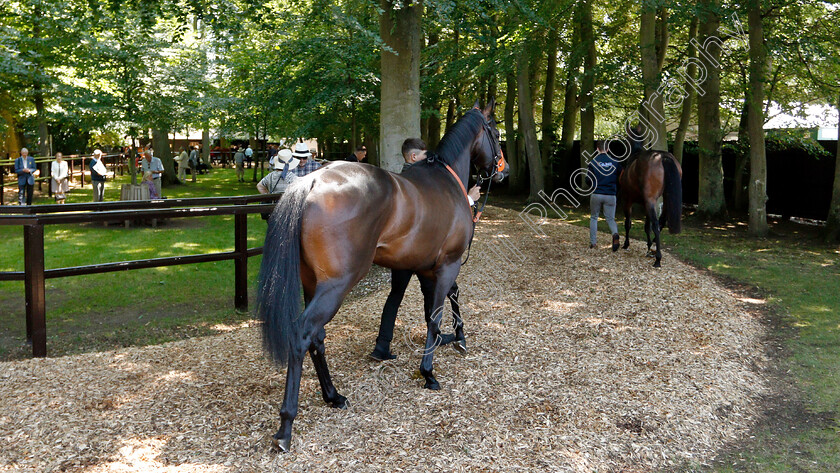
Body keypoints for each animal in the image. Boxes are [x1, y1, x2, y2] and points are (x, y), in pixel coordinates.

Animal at [256, 99, 506, 450]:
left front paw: (456, 339)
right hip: (337, 285)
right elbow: (436, 313)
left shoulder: (425, 267)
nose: (503, 170)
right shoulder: (449, 263)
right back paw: (286, 425)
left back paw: (333, 396)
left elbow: (435, 306)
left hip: (313, 283)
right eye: (496, 132)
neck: (447, 182)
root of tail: (311, 183)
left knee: (317, 337)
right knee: (303, 334)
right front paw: (430, 372)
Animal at [616, 124, 684, 266]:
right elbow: (646, 226)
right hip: (662, 200)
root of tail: (662, 157)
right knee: (661, 222)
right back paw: (653, 246)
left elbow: (628, 223)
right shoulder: (646, 204)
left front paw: (626, 244)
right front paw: (648, 245)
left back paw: (658, 258)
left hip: (650, 201)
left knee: (656, 225)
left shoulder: (627, 201)